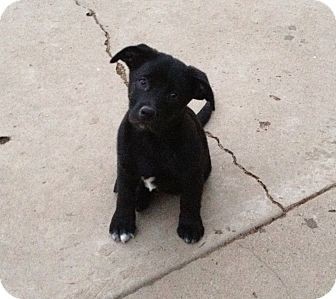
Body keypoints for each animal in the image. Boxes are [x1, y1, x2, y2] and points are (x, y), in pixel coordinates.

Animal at [110, 45, 215, 246]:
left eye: (173, 95)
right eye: (143, 82)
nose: (147, 112)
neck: (151, 139)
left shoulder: (192, 173)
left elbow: (190, 199)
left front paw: (190, 225)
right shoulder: (125, 165)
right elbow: (124, 197)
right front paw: (122, 224)